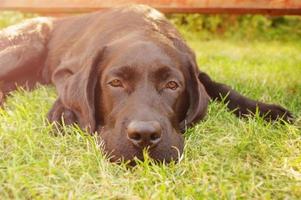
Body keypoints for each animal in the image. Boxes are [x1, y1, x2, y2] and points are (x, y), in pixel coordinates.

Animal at [0, 4, 292, 163]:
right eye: (115, 83)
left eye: (173, 85)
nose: (144, 136)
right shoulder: (64, 69)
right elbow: (68, 91)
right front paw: (63, 114)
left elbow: (218, 85)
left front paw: (266, 111)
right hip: (28, 45)